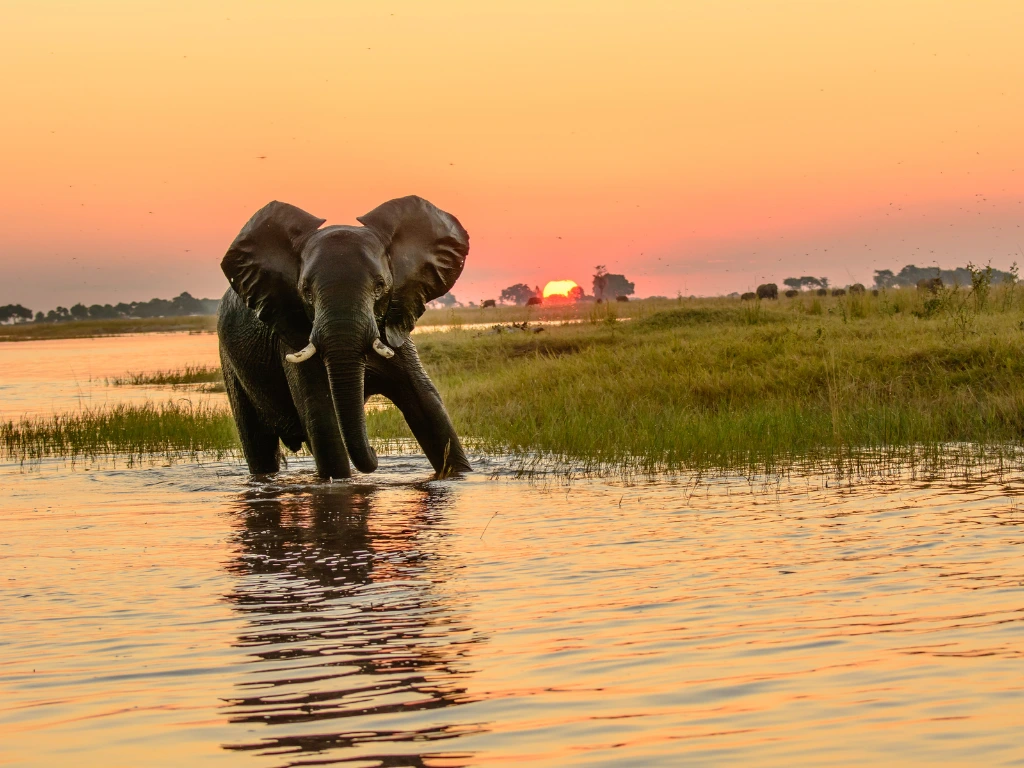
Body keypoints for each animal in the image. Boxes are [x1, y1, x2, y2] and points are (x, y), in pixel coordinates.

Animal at [218, 195, 473, 479]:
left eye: (380, 286)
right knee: (258, 445)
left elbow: (428, 406)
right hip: (230, 364)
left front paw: (459, 476)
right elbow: (323, 419)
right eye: (306, 291)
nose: (374, 452)